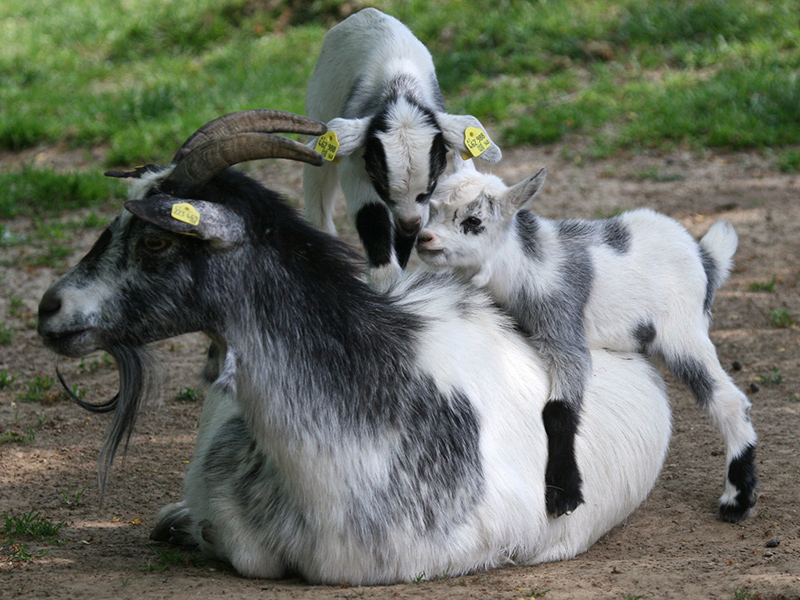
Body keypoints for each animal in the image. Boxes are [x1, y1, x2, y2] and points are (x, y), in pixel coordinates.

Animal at [303, 7, 501, 290]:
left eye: (431, 184)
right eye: (381, 183)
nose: (409, 224)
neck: (400, 91)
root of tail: (367, 12)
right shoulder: (358, 164)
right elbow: (370, 212)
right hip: (320, 110)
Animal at [415, 167, 758, 523]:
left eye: (473, 221)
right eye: (431, 208)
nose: (423, 239)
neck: (527, 265)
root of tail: (705, 258)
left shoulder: (564, 330)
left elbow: (558, 409)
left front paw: (564, 491)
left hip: (684, 331)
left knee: (729, 401)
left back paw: (737, 499)